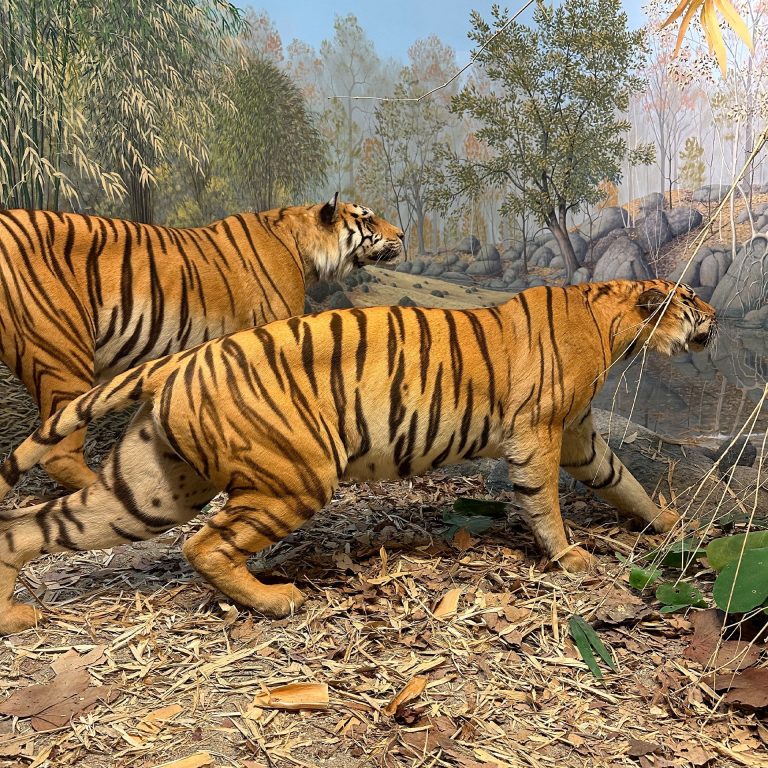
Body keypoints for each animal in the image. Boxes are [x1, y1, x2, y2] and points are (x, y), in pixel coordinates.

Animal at [0, 279, 717, 634]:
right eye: (689, 300)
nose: (714, 315)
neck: (613, 323)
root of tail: (180, 360)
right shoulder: (539, 432)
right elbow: (544, 501)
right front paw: (569, 557)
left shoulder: (578, 435)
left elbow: (623, 481)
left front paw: (668, 522)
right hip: (296, 477)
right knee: (203, 544)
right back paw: (276, 602)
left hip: (151, 487)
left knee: (34, 527)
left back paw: (13, 614)